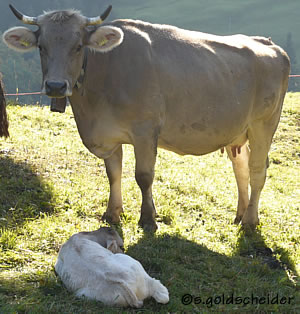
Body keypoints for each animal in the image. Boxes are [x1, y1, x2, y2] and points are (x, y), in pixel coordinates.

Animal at [1, 4, 288, 231]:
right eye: (41, 46)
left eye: (78, 46)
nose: (56, 86)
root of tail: (268, 43)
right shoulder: (109, 135)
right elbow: (113, 173)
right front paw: (112, 213)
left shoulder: (145, 130)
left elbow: (144, 175)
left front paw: (148, 218)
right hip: (236, 131)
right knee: (241, 168)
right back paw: (240, 214)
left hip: (264, 124)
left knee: (257, 170)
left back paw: (250, 221)